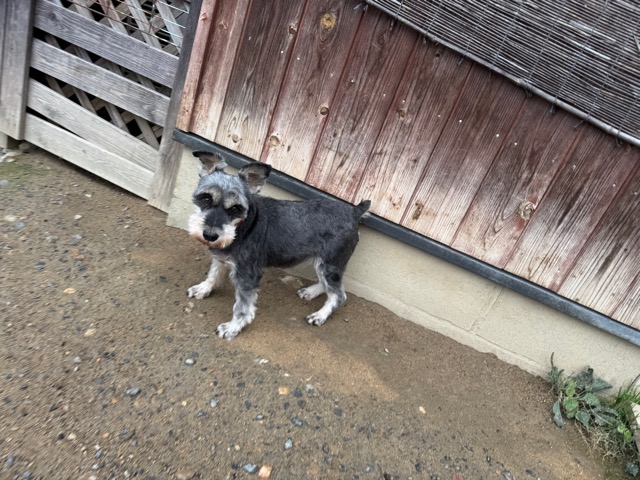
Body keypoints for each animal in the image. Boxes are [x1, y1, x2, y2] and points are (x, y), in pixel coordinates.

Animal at [186, 151, 371, 340]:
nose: (210, 235)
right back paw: (311, 292)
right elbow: (213, 275)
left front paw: (233, 327)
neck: (243, 226)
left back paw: (320, 315)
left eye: (236, 208)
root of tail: (354, 211)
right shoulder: (221, 258)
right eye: (206, 198)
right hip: (325, 262)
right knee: (329, 285)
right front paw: (203, 288)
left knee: (338, 295)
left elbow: (243, 307)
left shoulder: (247, 274)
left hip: (330, 263)